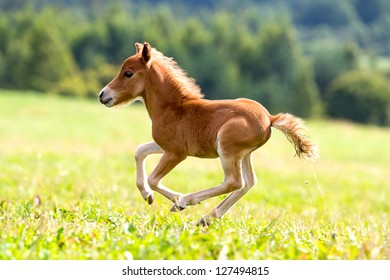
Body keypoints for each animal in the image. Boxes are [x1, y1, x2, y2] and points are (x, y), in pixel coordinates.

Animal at [99, 41, 318, 225]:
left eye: (128, 73)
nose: (102, 95)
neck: (173, 108)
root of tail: (270, 118)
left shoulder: (176, 153)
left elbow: (153, 179)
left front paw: (178, 201)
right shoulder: (165, 146)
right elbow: (139, 151)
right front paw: (147, 196)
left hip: (227, 149)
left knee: (234, 182)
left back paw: (189, 201)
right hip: (244, 155)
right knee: (248, 183)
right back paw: (207, 218)